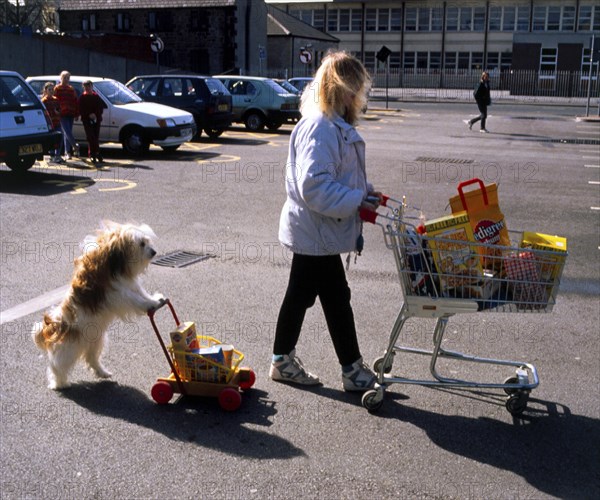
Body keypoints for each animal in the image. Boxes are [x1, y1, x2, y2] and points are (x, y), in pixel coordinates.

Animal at [32, 223, 164, 390]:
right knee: (57, 366)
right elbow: (136, 299)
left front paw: (155, 299)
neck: (112, 263)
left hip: (95, 340)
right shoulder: (119, 294)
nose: (154, 252)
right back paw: (58, 383)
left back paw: (102, 372)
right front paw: (151, 304)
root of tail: (54, 324)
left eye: (147, 241)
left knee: (91, 359)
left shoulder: (129, 285)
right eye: (141, 244)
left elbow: (142, 294)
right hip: (69, 348)